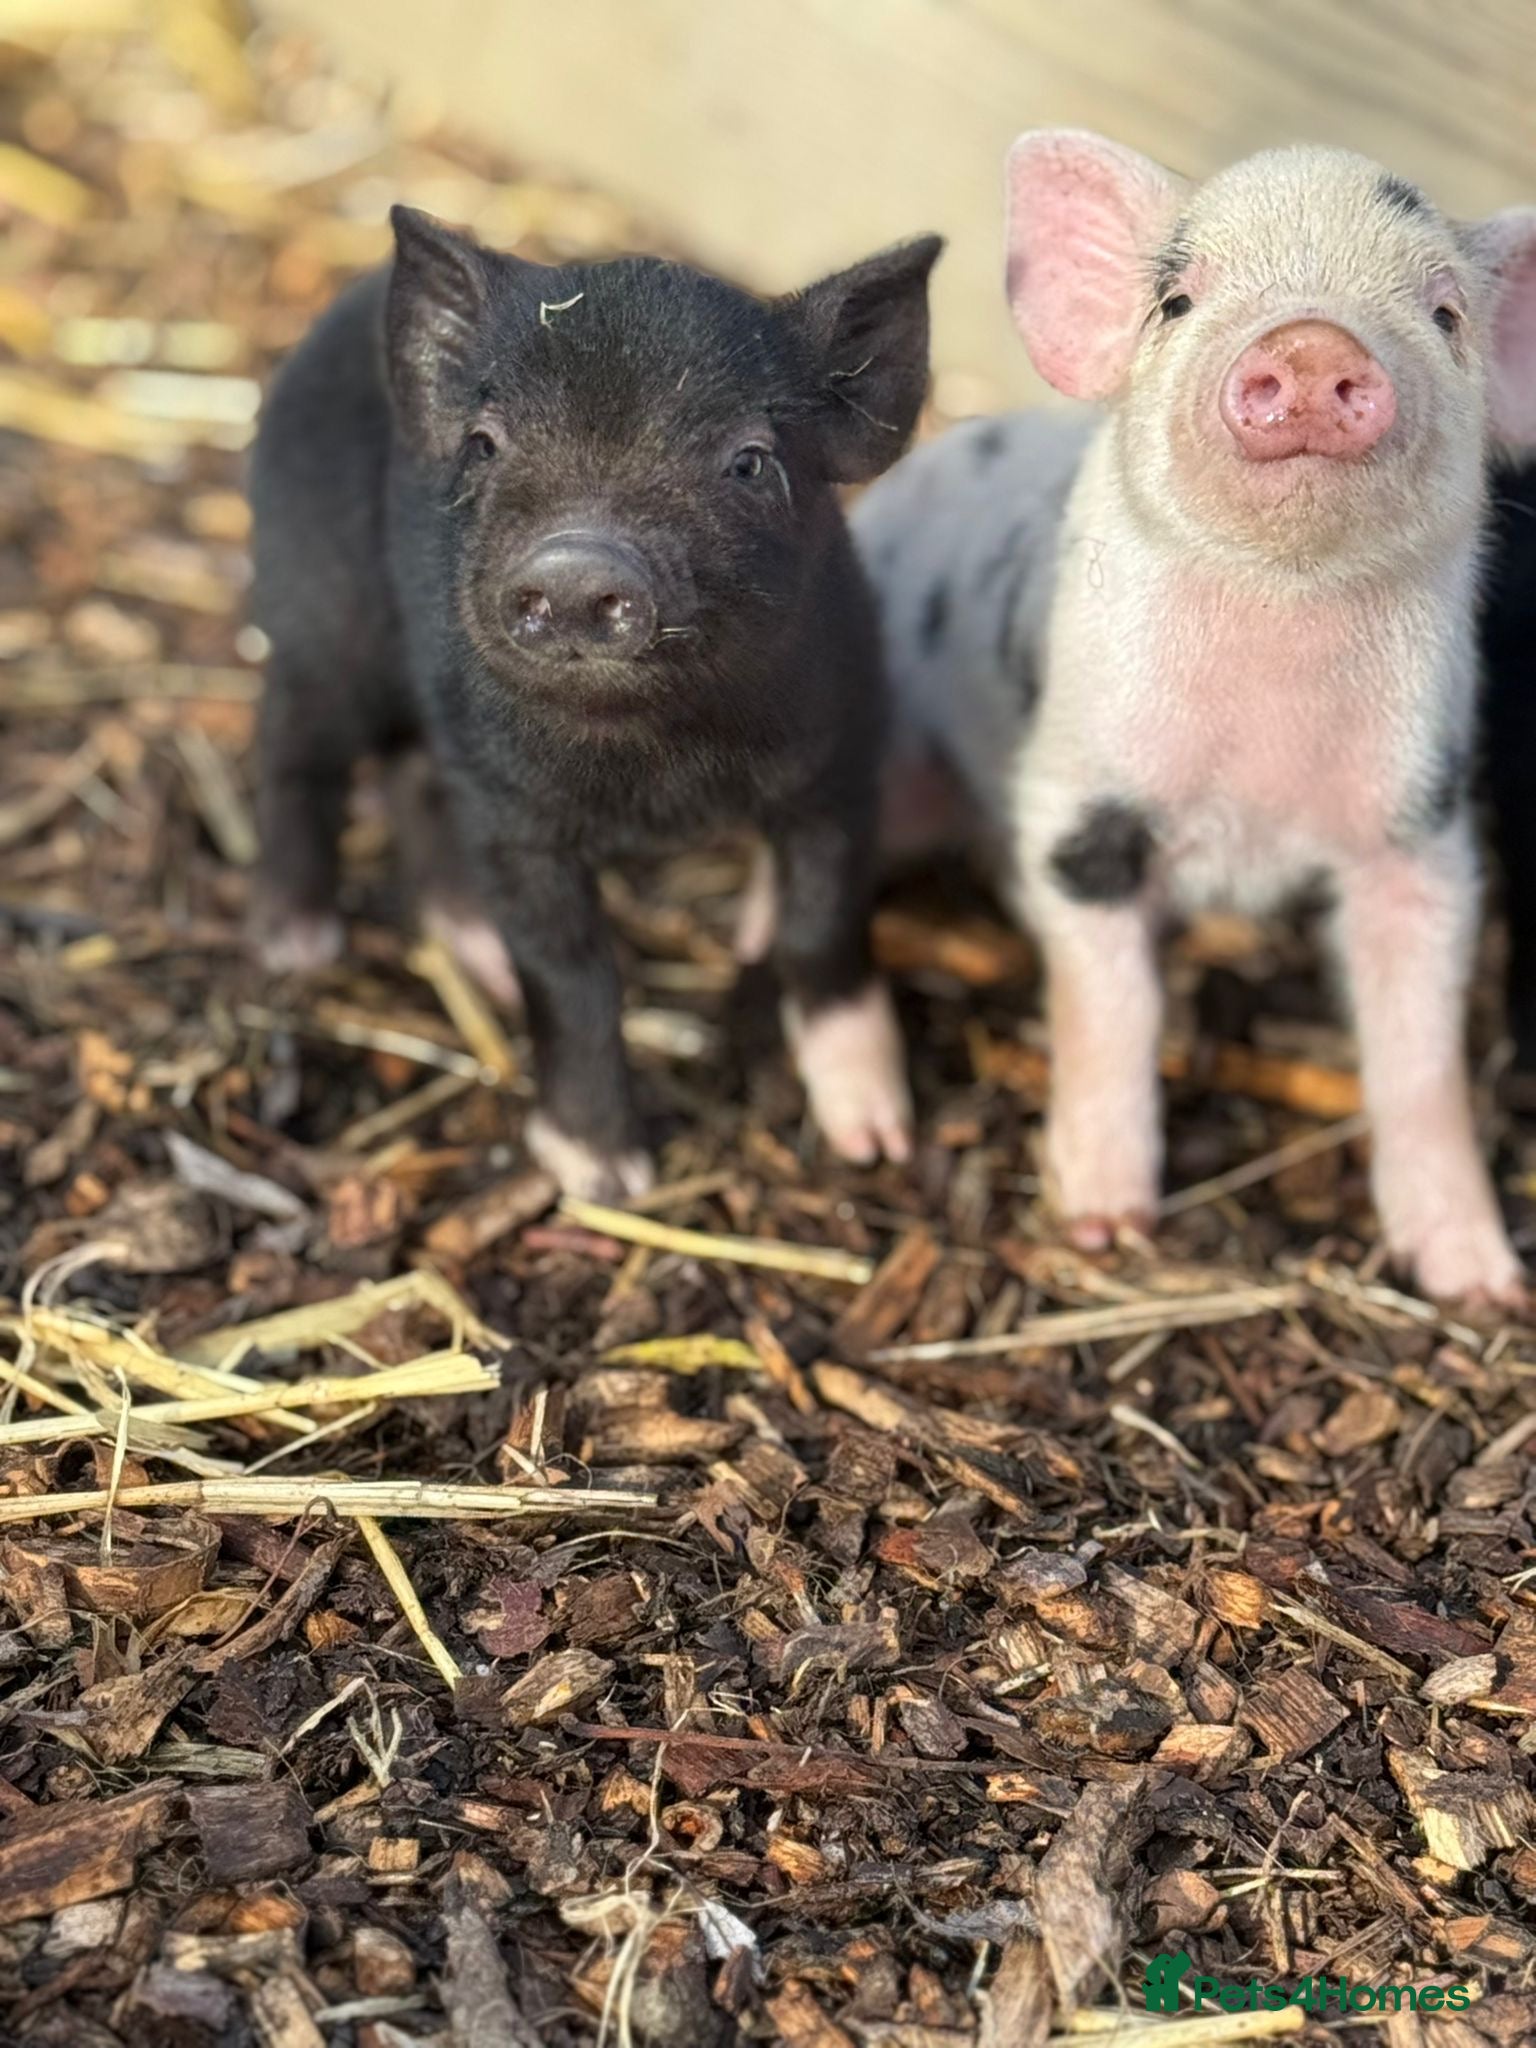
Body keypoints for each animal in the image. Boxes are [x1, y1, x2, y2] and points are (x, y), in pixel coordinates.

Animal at [248, 208, 942, 1198]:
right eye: (484, 444)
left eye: (749, 462)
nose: (577, 565)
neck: (659, 780)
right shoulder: (519, 822)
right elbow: (572, 975)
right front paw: (602, 1179)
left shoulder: (841, 759)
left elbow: (823, 928)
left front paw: (875, 1143)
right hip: (317, 607)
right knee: (295, 743)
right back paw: (296, 946)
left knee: (415, 779)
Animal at [858, 133, 1536, 1304]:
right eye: (1176, 300)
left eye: (1445, 312)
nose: (1310, 344)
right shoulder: (1078, 802)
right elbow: (1111, 1007)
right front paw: (1103, 1226)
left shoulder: (1424, 821)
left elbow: (1422, 1048)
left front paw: (1483, 1285)